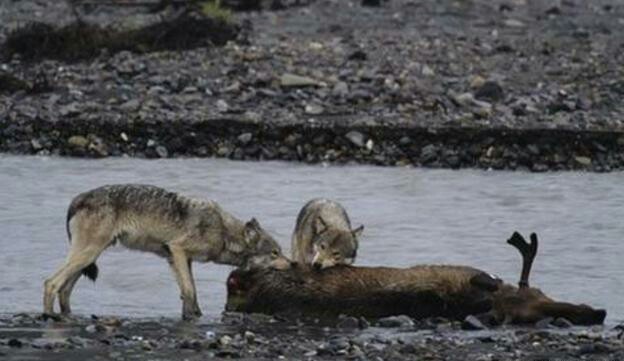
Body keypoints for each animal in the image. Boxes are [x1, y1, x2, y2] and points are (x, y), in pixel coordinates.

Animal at [42, 184, 292, 320]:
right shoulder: (178, 250)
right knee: (51, 283)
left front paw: (194, 315)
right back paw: (49, 316)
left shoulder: (178, 259)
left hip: (89, 256)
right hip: (88, 254)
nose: (294, 264)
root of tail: (78, 198)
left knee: (65, 289)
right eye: (274, 253)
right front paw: (191, 318)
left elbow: (189, 291)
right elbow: (189, 291)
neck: (223, 231)